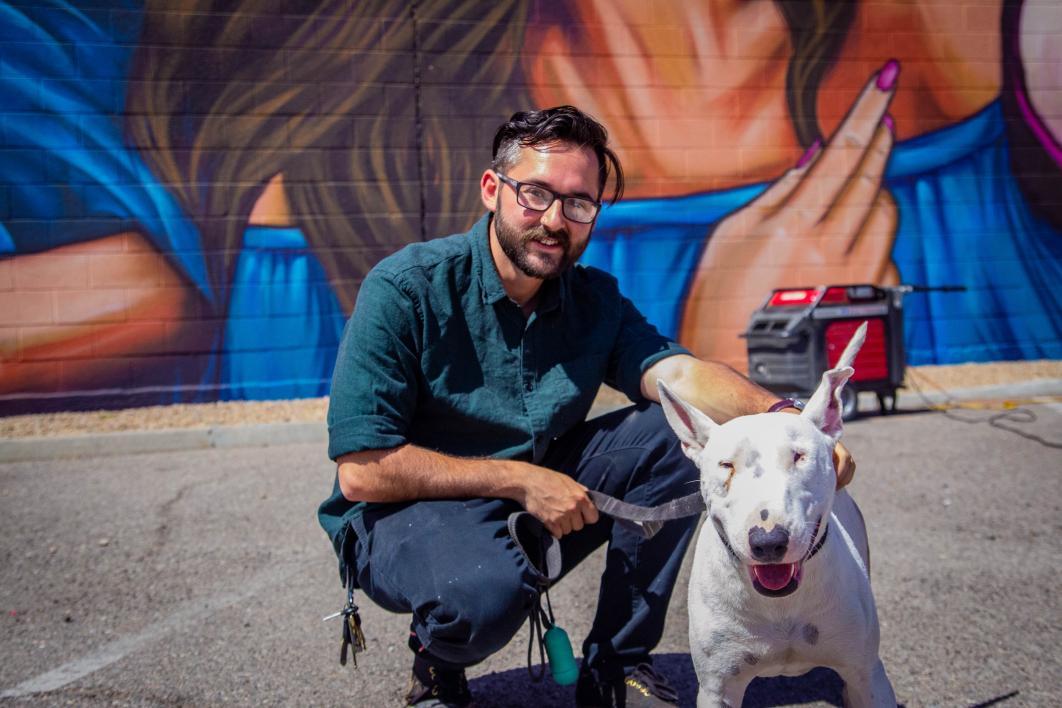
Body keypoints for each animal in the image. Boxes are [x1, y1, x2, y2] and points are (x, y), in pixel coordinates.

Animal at [654, 324, 896, 704]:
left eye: (799, 456)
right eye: (726, 465)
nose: (768, 543)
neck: (781, 606)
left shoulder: (868, 675)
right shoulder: (716, 688)